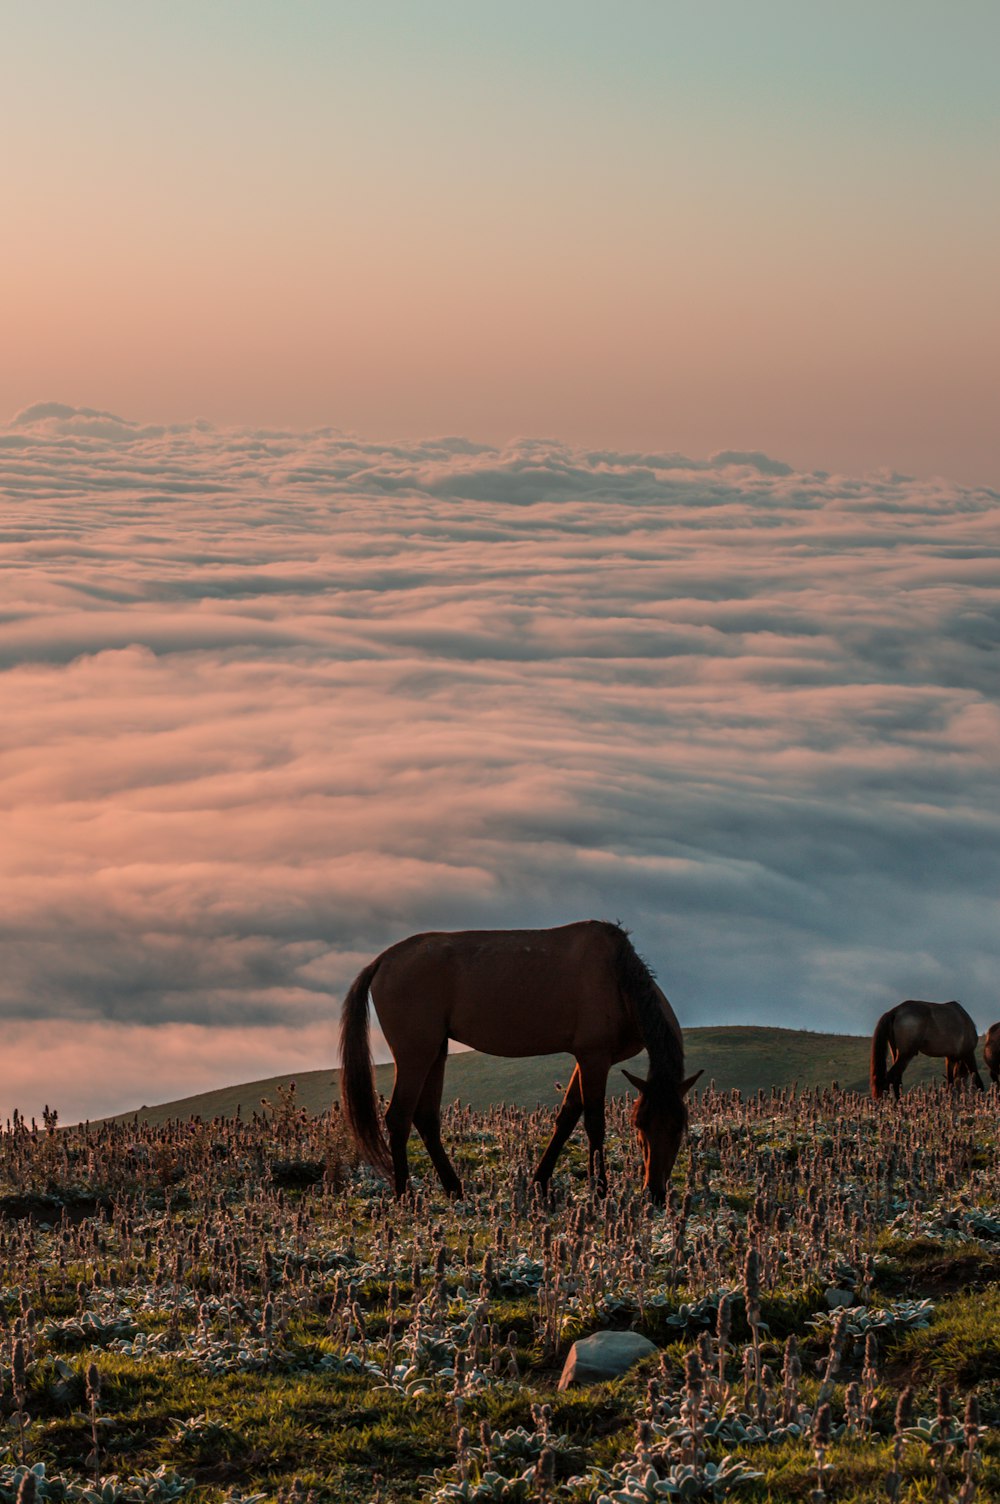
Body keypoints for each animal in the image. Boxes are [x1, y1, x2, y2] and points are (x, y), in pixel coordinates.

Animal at [339, 908, 697, 1203]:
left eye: (678, 1129)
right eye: (640, 1127)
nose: (655, 1193)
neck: (618, 978)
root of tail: (383, 961)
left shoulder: (589, 1058)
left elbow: (567, 1116)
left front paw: (540, 1181)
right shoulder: (594, 1057)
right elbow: (594, 1122)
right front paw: (600, 1190)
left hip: (435, 1052)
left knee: (425, 1118)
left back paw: (454, 1189)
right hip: (415, 1052)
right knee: (398, 1117)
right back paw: (404, 1196)